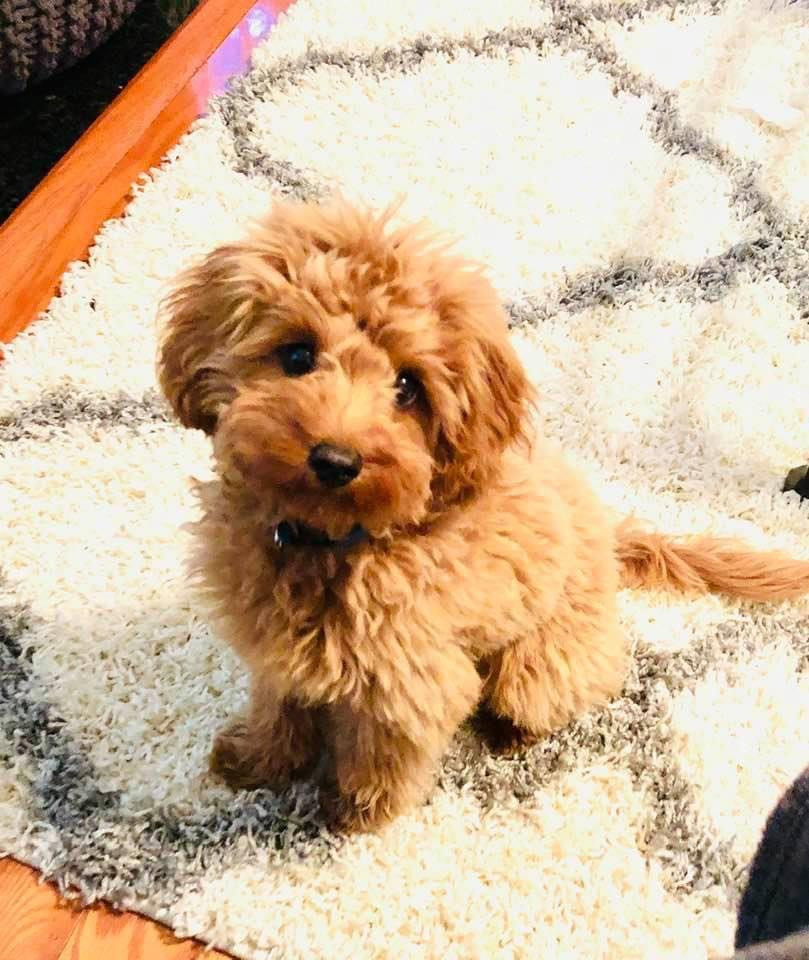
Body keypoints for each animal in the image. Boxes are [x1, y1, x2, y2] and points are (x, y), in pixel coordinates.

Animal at [157, 198, 809, 833]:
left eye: (407, 387)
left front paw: (356, 812)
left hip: (541, 663)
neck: (330, 540)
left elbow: (383, 754)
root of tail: (609, 536)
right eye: (296, 353)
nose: (336, 460)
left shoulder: (412, 680)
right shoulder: (274, 647)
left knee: (568, 686)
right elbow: (278, 705)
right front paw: (257, 759)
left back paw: (511, 732)